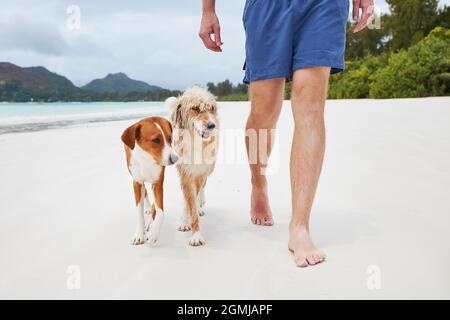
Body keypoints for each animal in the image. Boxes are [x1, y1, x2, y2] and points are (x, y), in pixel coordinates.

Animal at [121, 117, 178, 245]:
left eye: (170, 138)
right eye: (156, 140)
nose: (175, 159)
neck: (147, 157)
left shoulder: (157, 183)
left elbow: (160, 212)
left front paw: (153, 234)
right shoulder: (137, 183)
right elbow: (139, 212)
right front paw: (139, 234)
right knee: (145, 193)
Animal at [167, 86, 220, 246]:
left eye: (211, 108)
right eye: (195, 108)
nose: (212, 125)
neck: (195, 141)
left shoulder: (201, 172)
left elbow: (195, 198)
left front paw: (196, 232)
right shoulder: (186, 173)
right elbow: (188, 200)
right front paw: (188, 224)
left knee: (202, 188)